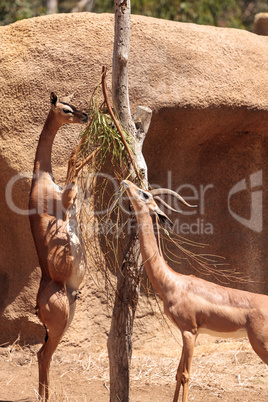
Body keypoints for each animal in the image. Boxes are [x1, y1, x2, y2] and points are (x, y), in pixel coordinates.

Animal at [122, 181, 268, 402]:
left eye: (145, 194)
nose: (126, 182)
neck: (173, 283)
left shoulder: (190, 332)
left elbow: (185, 375)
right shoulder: (187, 332)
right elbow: (177, 373)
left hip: (261, 344)